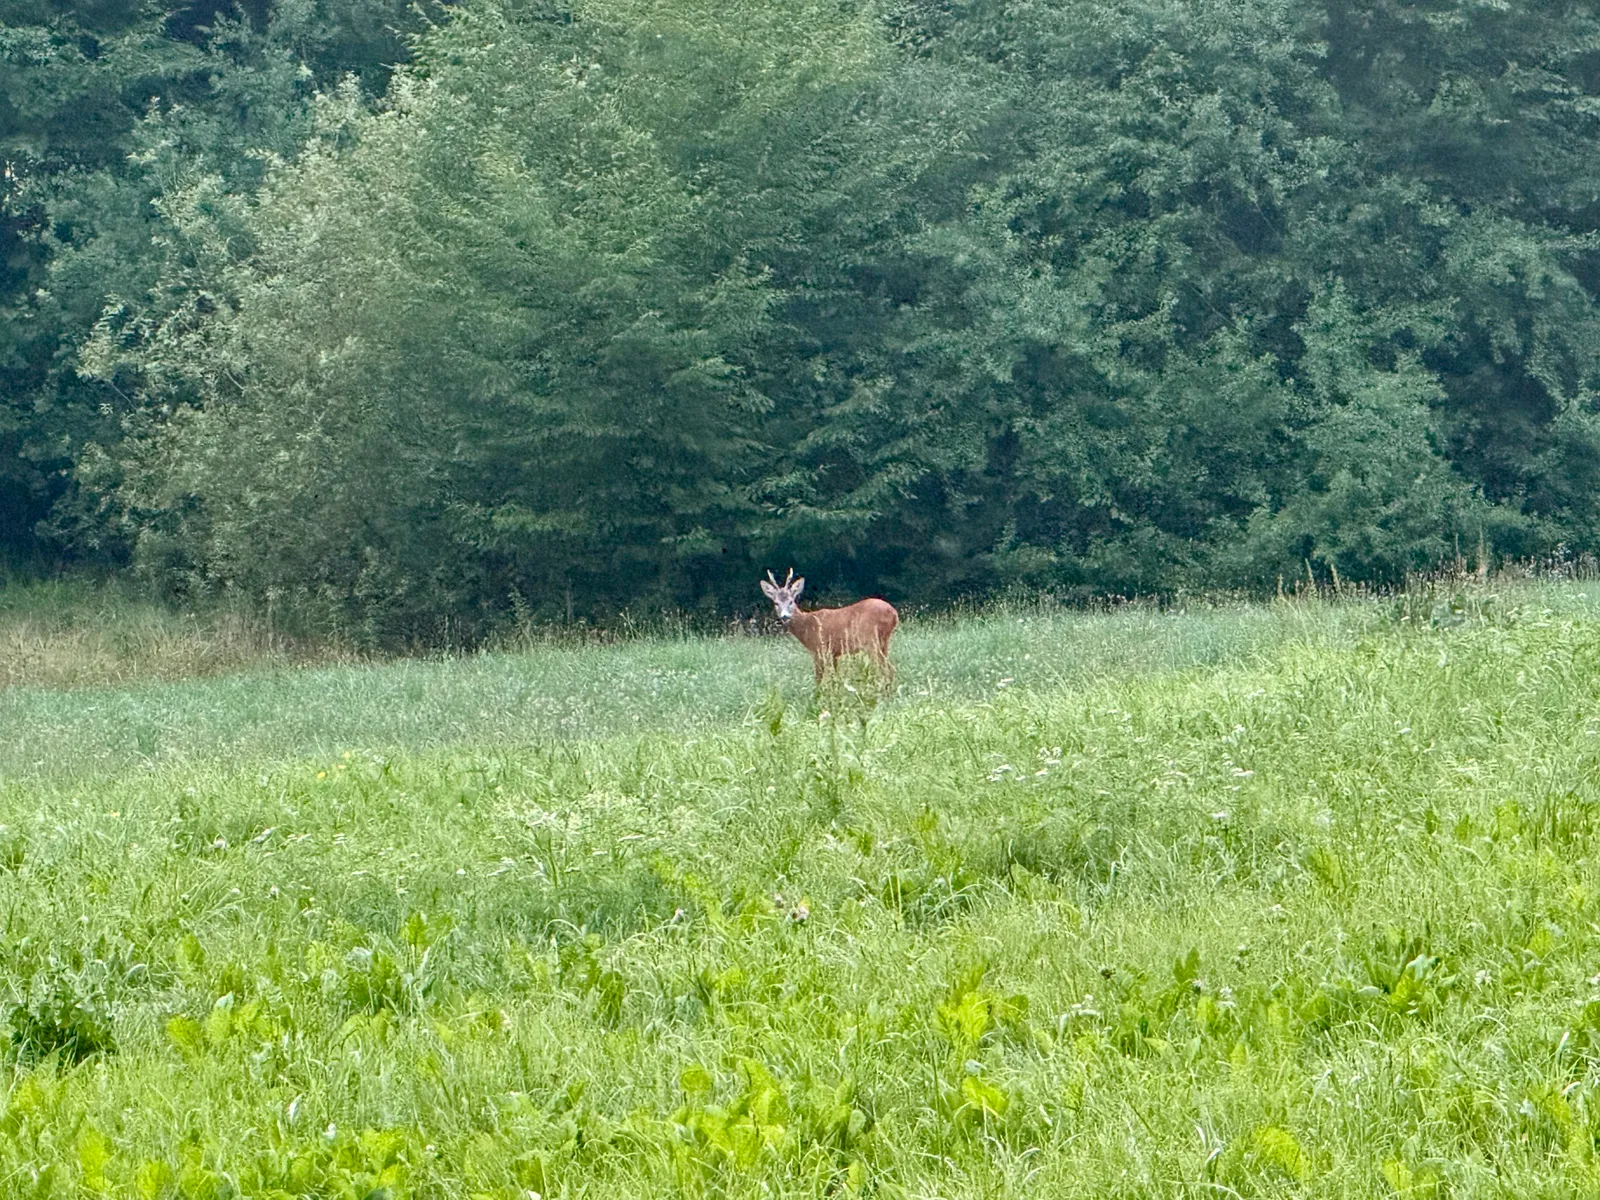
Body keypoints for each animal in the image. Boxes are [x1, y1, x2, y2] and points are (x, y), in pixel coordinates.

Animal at [758, 568, 898, 687]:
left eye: (791, 601)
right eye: (776, 603)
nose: (785, 616)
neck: (807, 626)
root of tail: (893, 613)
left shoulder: (819, 649)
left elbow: (819, 679)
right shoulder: (834, 654)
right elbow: (836, 677)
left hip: (870, 640)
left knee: (887, 669)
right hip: (884, 641)